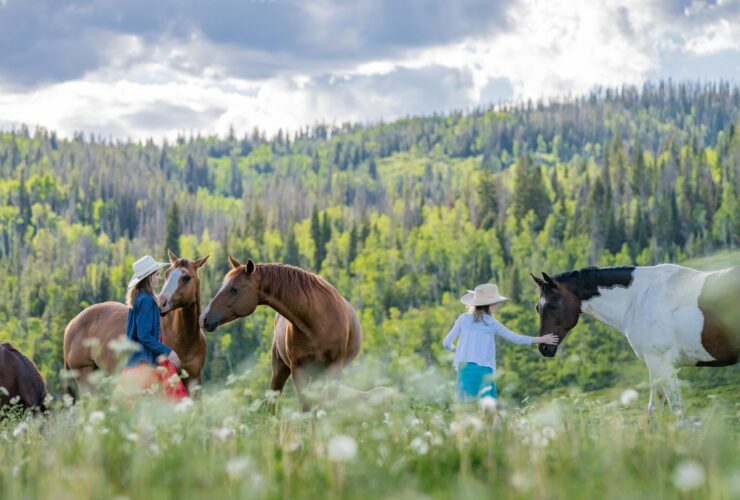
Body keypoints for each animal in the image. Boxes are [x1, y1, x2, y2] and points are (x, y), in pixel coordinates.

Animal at [63, 250, 210, 394]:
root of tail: (71, 324)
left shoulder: (194, 380)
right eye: (167, 274)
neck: (185, 339)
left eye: (186, 277)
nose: (161, 303)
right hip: (87, 379)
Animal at [199, 258, 362, 410]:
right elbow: (305, 407)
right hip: (281, 370)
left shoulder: (334, 368)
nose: (203, 318)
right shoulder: (298, 369)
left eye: (234, 289)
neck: (316, 322)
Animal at [532, 264, 740, 416]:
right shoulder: (655, 367)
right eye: (537, 307)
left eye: (552, 305)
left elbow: (677, 410)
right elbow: (654, 409)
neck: (638, 299)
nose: (543, 346)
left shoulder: (662, 364)